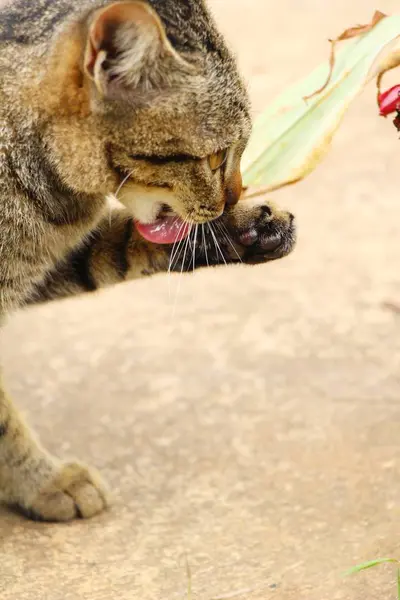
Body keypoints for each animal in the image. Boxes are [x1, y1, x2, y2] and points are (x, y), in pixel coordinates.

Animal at [0, 0, 294, 520]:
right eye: (215, 157)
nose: (236, 194)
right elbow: (0, 423)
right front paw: (43, 481)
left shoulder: (40, 264)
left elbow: (117, 249)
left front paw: (244, 230)